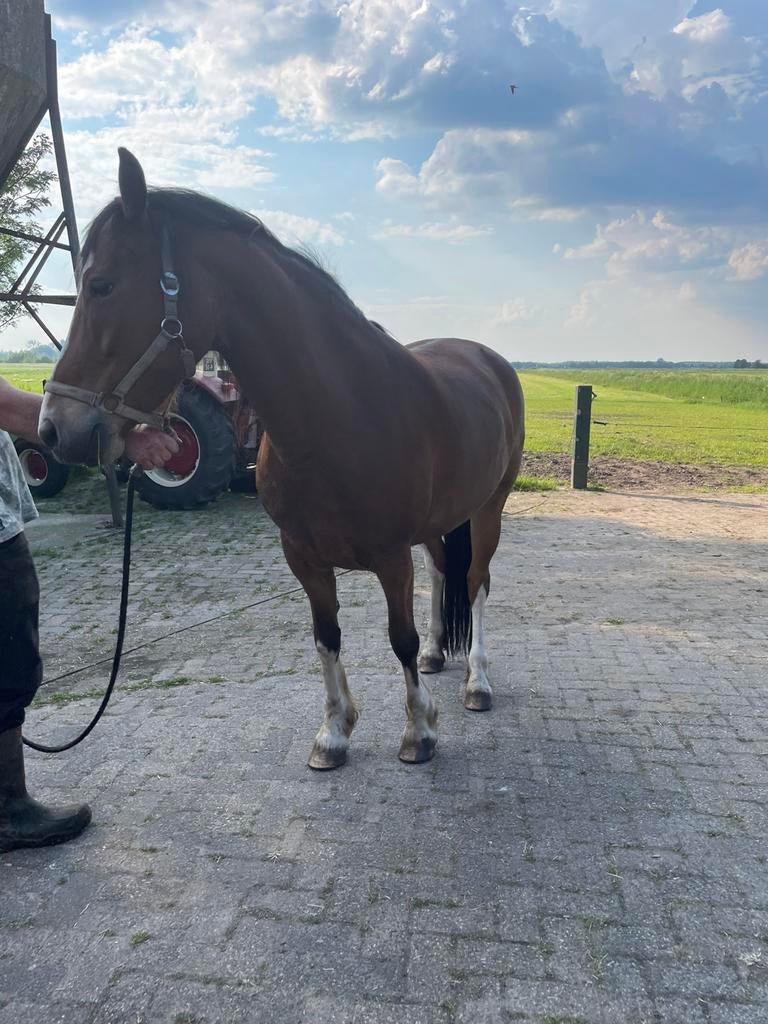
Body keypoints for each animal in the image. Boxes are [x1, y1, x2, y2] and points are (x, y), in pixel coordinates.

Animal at [39, 148, 525, 769]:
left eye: (101, 285)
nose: (54, 428)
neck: (337, 414)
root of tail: (487, 358)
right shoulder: (303, 557)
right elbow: (326, 637)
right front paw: (335, 732)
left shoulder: (392, 556)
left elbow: (399, 638)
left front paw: (418, 729)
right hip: (442, 518)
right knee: (445, 572)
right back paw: (442, 654)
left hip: (489, 508)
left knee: (477, 580)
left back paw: (477, 682)